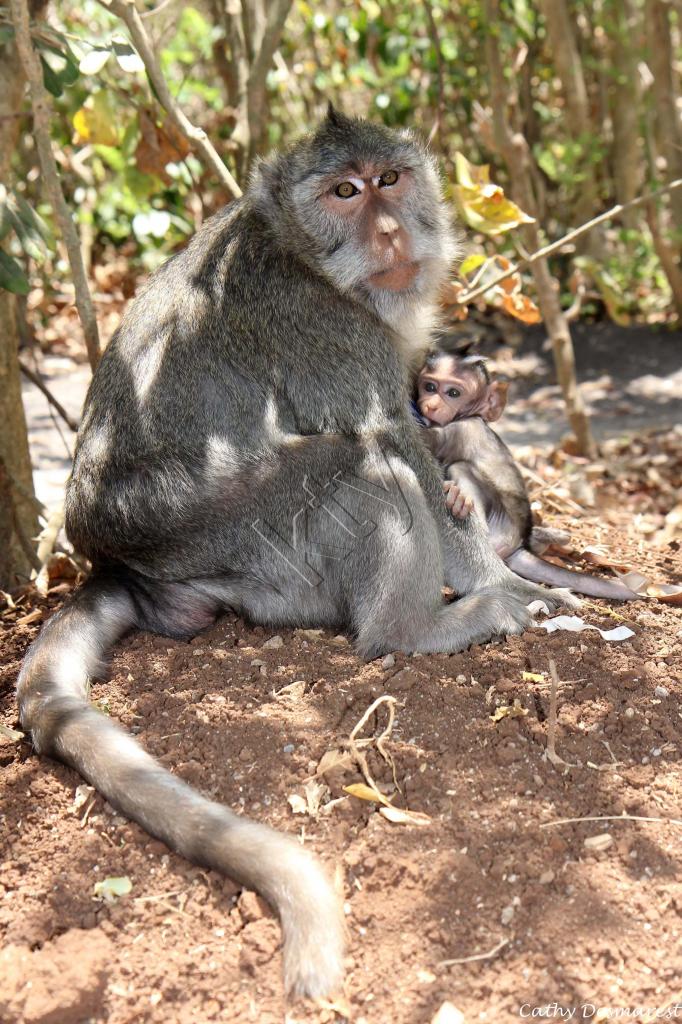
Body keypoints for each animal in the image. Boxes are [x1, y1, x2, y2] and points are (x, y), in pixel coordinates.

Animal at [15, 108, 569, 995]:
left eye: (389, 179)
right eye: (342, 191)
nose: (388, 227)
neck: (312, 262)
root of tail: (121, 570)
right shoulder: (329, 333)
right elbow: (395, 440)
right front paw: (516, 585)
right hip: (252, 545)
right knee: (361, 466)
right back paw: (419, 628)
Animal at [413, 350, 638, 598]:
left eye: (453, 393)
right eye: (430, 387)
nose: (431, 405)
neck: (472, 415)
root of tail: (519, 544)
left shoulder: (462, 429)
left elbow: (427, 440)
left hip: (501, 529)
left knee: (460, 467)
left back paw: (459, 500)